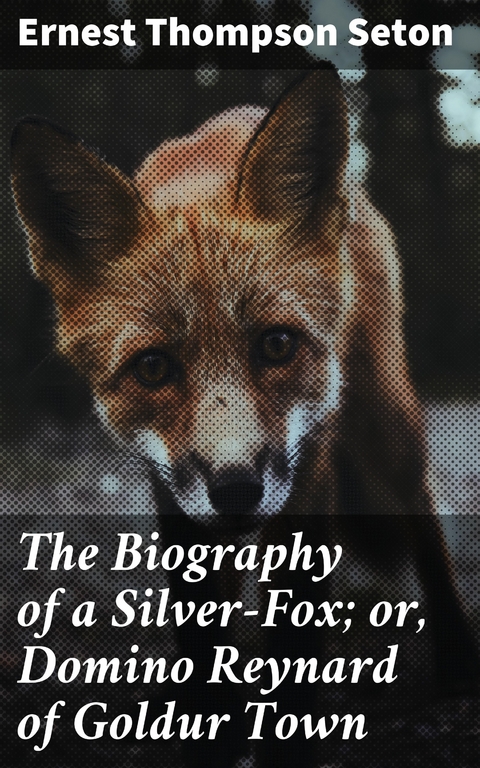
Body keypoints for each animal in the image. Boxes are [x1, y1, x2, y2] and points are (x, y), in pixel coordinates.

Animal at [10, 69, 478, 765]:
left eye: (276, 346)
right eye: (154, 368)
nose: (235, 491)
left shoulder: (307, 468)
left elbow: (295, 637)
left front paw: (289, 741)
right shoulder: (172, 488)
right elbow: (201, 635)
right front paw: (211, 732)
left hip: (383, 424)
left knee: (420, 512)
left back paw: (456, 656)